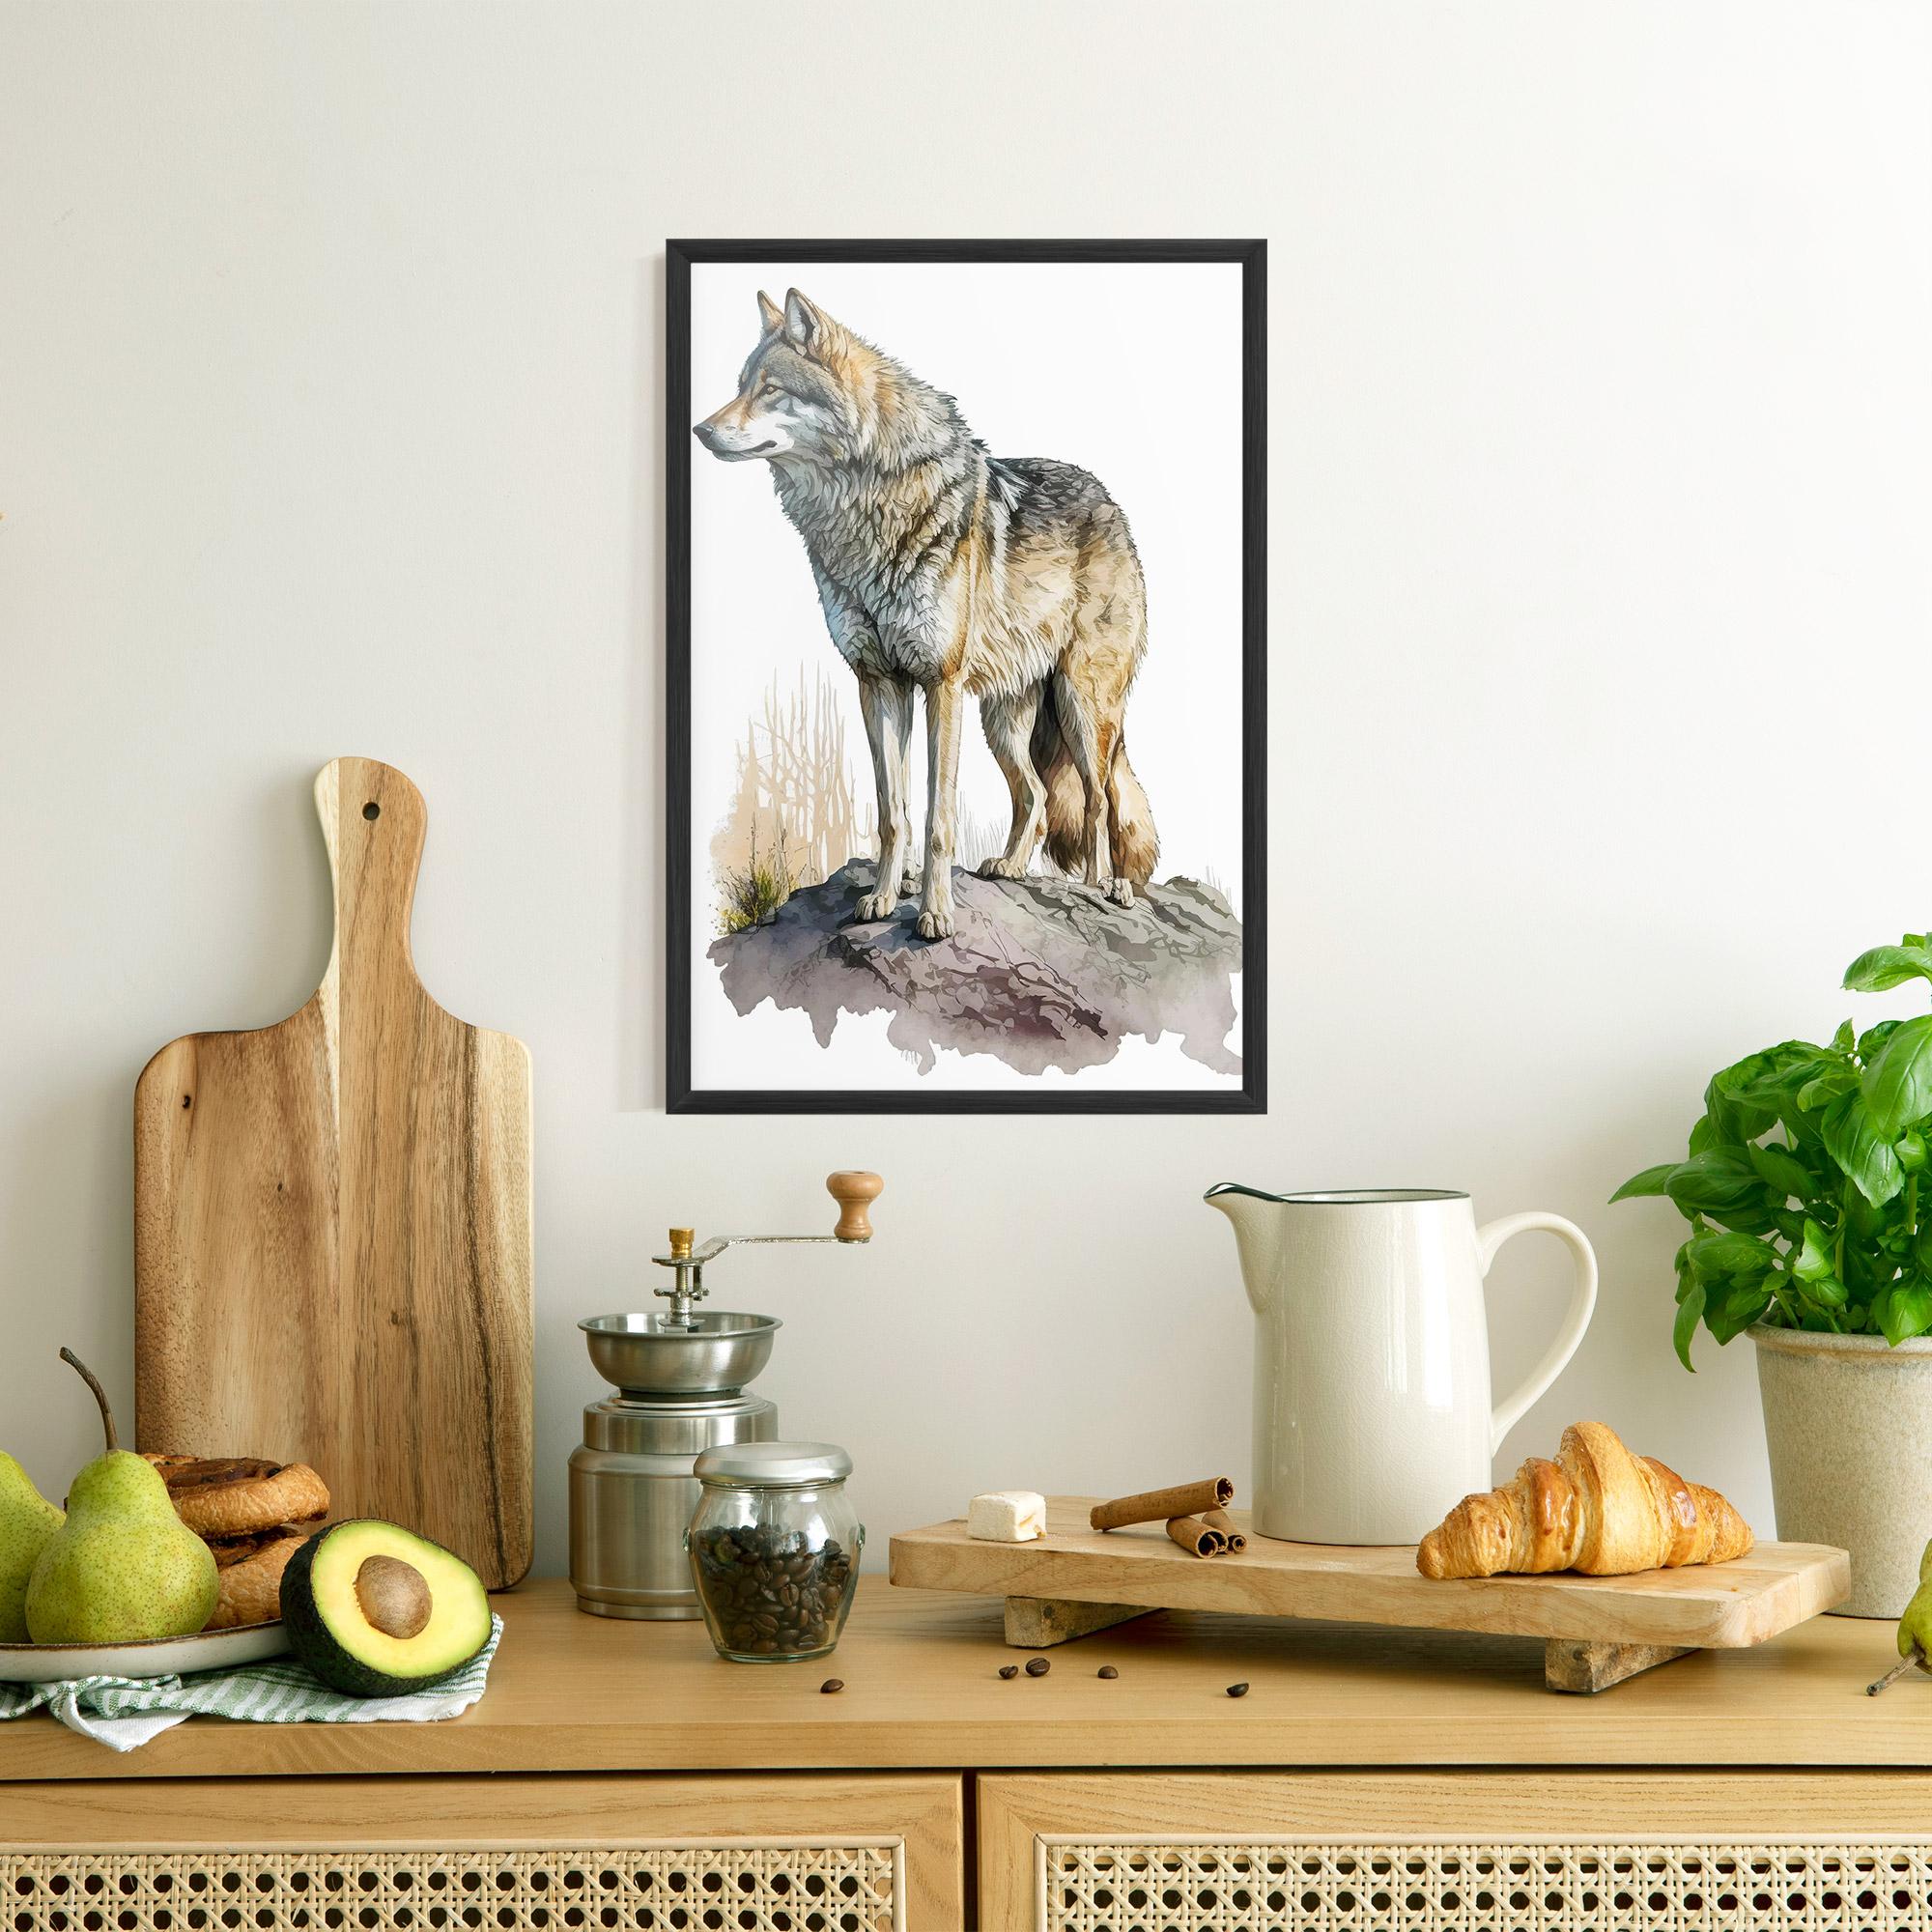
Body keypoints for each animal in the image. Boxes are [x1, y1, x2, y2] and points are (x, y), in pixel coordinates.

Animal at [694, 288, 1158, 940]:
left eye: (770, 390)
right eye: (740, 386)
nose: (701, 429)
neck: (864, 513)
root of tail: (1111, 502)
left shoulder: (940, 684)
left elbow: (939, 818)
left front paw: (935, 914)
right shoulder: (878, 682)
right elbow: (895, 812)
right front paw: (883, 897)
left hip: (1082, 708)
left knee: (1102, 800)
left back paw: (1105, 889)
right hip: (1001, 720)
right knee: (1037, 798)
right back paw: (1010, 868)